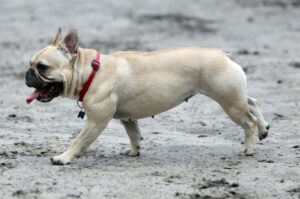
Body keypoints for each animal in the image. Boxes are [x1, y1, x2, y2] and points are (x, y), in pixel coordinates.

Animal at [25, 28, 270, 165]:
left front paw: (63, 158)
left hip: (229, 102)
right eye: (30, 64)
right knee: (253, 102)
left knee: (247, 121)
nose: (27, 74)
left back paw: (248, 148)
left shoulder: (95, 122)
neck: (91, 71)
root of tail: (222, 54)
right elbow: (134, 135)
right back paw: (264, 129)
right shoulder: (127, 118)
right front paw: (134, 151)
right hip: (234, 97)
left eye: (42, 67)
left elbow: (78, 141)